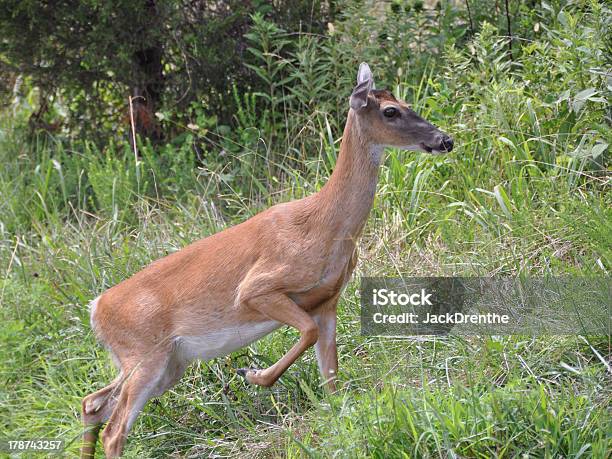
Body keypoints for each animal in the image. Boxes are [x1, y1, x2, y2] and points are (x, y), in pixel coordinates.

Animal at [80, 62, 454, 459]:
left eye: (406, 103)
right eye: (390, 111)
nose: (445, 140)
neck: (325, 225)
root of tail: (95, 307)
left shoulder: (328, 301)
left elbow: (332, 381)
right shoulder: (258, 288)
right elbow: (306, 332)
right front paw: (254, 375)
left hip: (167, 363)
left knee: (93, 403)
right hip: (145, 354)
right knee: (114, 429)